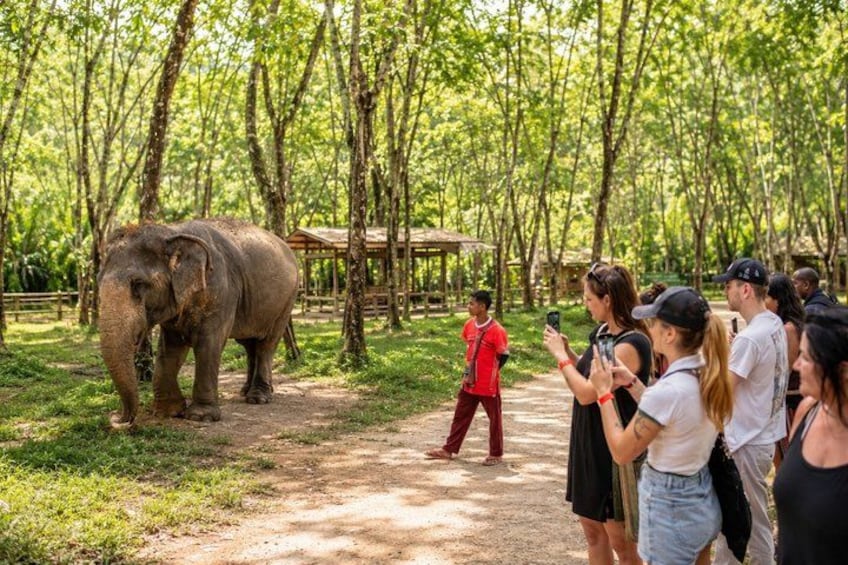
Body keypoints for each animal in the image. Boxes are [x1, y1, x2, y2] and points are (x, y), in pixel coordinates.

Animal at [97, 218, 298, 428]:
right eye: (98, 282)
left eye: (138, 284)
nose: (118, 419)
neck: (172, 231)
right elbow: (170, 349)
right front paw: (167, 412)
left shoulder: (221, 290)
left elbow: (208, 344)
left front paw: (200, 417)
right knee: (249, 344)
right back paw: (245, 391)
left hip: (287, 300)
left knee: (266, 344)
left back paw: (258, 398)